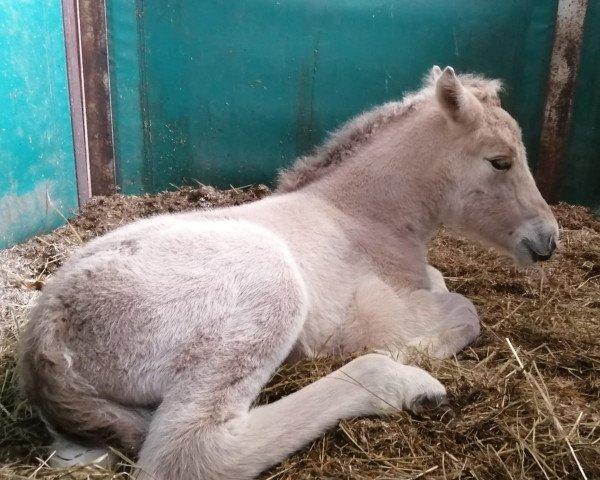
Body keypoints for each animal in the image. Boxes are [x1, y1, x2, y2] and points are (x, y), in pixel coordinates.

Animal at [21, 65, 560, 478]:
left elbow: (444, 285)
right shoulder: (376, 310)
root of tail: (47, 336)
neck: (360, 218)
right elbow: (464, 311)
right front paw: (403, 352)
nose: (548, 239)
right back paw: (405, 384)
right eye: (500, 161)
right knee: (191, 451)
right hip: (268, 286)